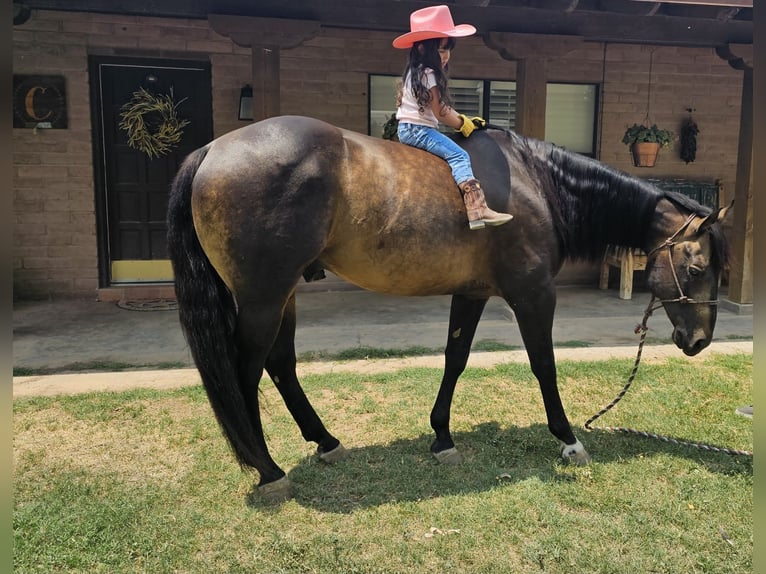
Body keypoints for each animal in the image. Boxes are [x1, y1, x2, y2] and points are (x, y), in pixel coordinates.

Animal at [167, 115, 731, 502]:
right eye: (699, 268)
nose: (699, 340)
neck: (536, 183)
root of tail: (213, 149)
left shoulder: (473, 292)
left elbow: (454, 360)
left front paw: (441, 436)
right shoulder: (533, 294)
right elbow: (544, 366)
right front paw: (569, 440)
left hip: (282, 296)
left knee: (281, 365)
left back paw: (324, 441)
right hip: (263, 298)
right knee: (245, 372)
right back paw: (268, 470)